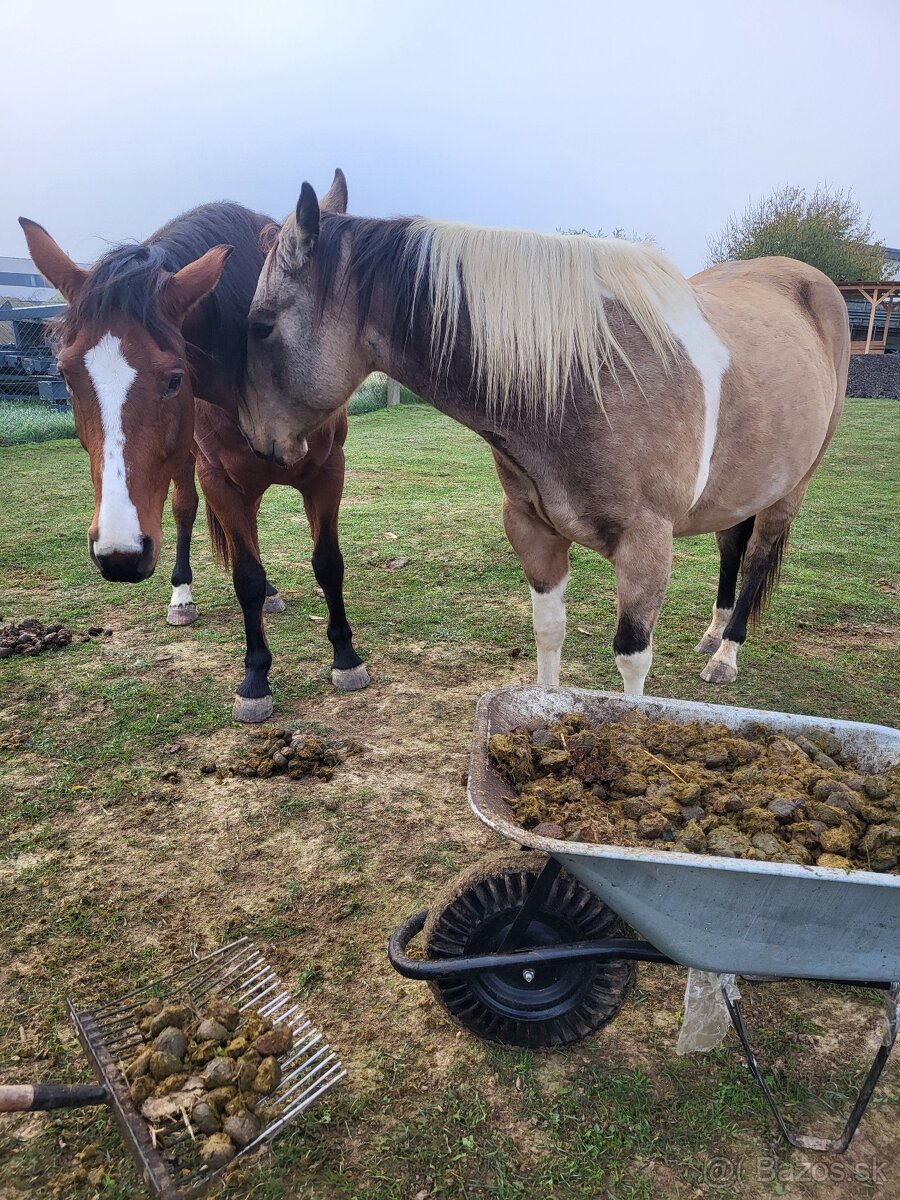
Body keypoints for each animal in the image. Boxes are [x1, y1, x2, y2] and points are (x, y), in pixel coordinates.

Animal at [19, 181, 369, 720]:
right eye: (66, 375)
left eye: (174, 378)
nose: (120, 554)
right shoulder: (216, 477)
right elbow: (245, 575)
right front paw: (255, 680)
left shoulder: (329, 470)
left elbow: (328, 563)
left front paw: (346, 658)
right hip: (188, 467)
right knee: (184, 511)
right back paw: (181, 596)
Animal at [237, 169, 854, 696]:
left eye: (260, 325)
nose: (258, 442)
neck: (590, 375)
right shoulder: (533, 531)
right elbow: (549, 635)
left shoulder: (646, 548)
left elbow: (632, 659)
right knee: (731, 547)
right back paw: (713, 634)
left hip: (791, 488)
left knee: (756, 559)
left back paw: (726, 653)